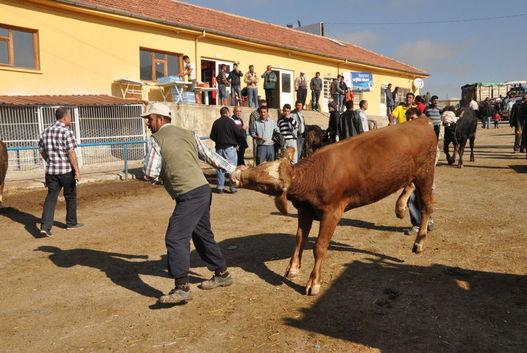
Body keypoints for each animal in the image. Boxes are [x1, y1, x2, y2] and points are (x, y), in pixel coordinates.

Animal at [234, 118, 438, 294]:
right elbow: (299, 239)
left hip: (426, 172)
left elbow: (320, 246)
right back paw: (400, 207)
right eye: (261, 166)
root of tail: (422, 121)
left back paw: (419, 242)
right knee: (409, 185)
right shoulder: (305, 210)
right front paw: (292, 268)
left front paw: (313, 282)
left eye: (264, 185)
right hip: (412, 172)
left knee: (427, 206)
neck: (313, 176)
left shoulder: (332, 212)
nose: (236, 173)